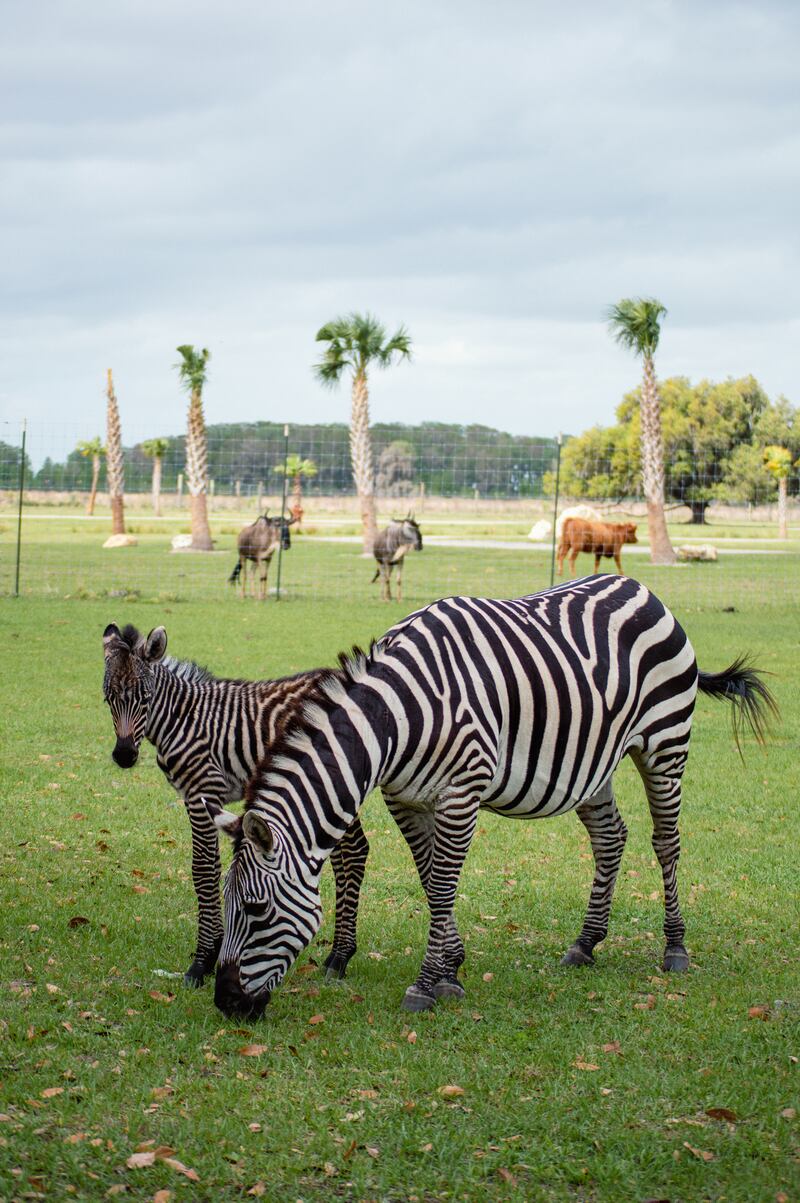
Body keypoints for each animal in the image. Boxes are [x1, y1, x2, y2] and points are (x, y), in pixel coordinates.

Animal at [100, 620, 370, 986]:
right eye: (108, 699)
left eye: (145, 697)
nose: (125, 756)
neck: (180, 719)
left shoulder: (202, 788)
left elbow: (203, 870)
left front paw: (203, 960)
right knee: (346, 856)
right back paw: (340, 953)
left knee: (354, 852)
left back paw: (339, 957)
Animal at [205, 572, 774, 1015]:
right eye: (228, 903)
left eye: (255, 909)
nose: (226, 1004)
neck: (396, 721)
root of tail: (641, 586)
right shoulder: (404, 798)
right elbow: (429, 879)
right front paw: (451, 970)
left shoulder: (461, 794)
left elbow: (441, 885)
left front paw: (425, 984)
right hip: (595, 762)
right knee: (611, 838)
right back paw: (585, 944)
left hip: (665, 744)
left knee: (666, 842)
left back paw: (675, 947)